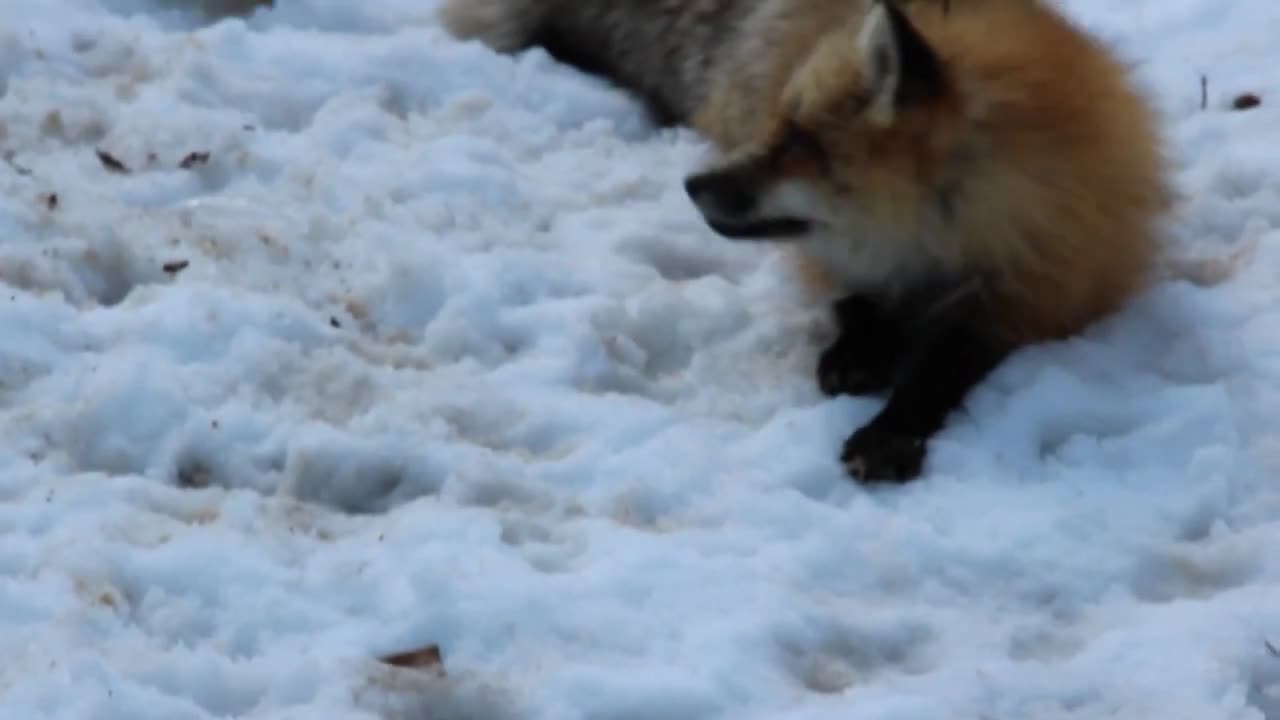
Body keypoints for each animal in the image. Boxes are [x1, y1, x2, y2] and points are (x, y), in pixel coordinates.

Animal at [442, 0, 1177, 484]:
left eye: (800, 142)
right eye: (776, 126)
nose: (692, 185)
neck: (942, 243)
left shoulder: (1042, 286)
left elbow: (946, 363)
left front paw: (891, 432)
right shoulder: (842, 263)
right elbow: (856, 302)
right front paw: (859, 353)